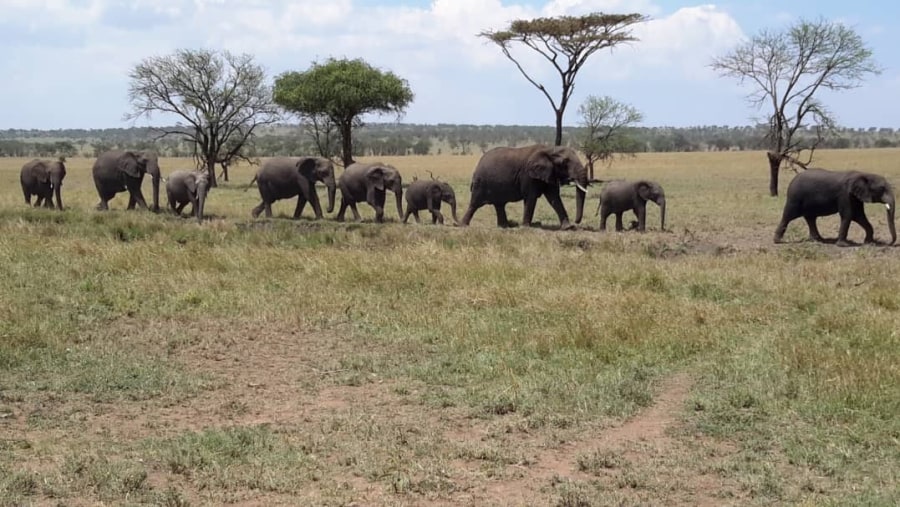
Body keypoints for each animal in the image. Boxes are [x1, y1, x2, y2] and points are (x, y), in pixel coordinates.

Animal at [458, 144, 592, 229]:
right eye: (564, 163)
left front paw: (568, 227)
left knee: (499, 205)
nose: (576, 222)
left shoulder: (549, 173)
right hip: (480, 183)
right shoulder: (528, 175)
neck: (549, 149)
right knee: (475, 204)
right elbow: (531, 198)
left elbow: (554, 198)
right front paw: (526, 227)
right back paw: (463, 225)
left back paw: (504, 227)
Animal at [768, 170, 896, 247]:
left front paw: (869, 243)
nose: (889, 243)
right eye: (882, 188)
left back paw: (818, 240)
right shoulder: (845, 195)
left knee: (810, 218)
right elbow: (848, 215)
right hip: (794, 198)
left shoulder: (855, 197)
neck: (863, 174)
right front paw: (844, 245)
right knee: (788, 216)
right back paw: (778, 241)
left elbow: (859, 216)